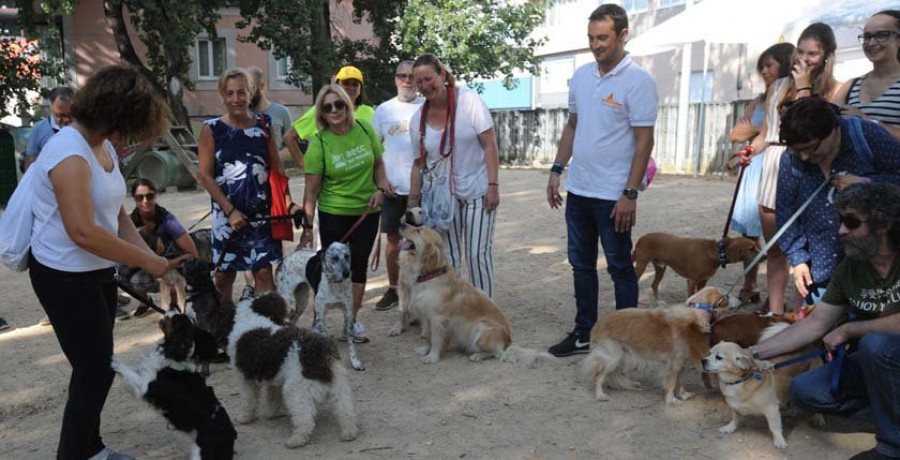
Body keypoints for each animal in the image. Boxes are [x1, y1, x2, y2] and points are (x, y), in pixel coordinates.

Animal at [225, 292, 358, 448]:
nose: (292, 309)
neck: (253, 316)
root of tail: (318, 349)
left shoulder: (245, 379)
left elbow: (249, 400)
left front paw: (245, 417)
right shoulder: (273, 378)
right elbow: (273, 397)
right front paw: (273, 413)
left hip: (296, 389)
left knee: (306, 420)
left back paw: (297, 440)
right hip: (338, 383)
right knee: (345, 410)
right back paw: (349, 432)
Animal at [274, 243, 366, 372]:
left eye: (347, 256)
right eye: (334, 258)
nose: (347, 273)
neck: (335, 283)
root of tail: (285, 259)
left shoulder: (348, 313)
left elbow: (352, 343)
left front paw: (355, 362)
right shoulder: (321, 313)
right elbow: (324, 337)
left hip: (303, 301)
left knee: (292, 320)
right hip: (287, 301)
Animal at [392, 224, 548, 366]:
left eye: (419, 230)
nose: (402, 223)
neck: (431, 276)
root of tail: (508, 341)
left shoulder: (438, 319)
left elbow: (435, 339)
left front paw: (432, 356)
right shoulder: (425, 316)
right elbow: (428, 337)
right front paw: (425, 349)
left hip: (481, 328)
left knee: (496, 353)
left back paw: (477, 356)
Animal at [580, 288, 736, 406]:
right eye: (726, 297)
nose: (739, 298)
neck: (694, 316)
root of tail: (597, 325)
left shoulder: (681, 364)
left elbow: (680, 382)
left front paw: (683, 395)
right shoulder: (673, 365)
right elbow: (672, 383)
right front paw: (671, 400)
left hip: (621, 356)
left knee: (614, 374)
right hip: (612, 357)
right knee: (599, 376)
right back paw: (600, 395)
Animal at [632, 234, 760, 302]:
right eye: (751, 248)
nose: (763, 256)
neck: (717, 252)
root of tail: (643, 237)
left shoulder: (703, 281)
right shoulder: (692, 281)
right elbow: (691, 296)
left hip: (660, 268)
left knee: (654, 285)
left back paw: (658, 302)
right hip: (641, 267)